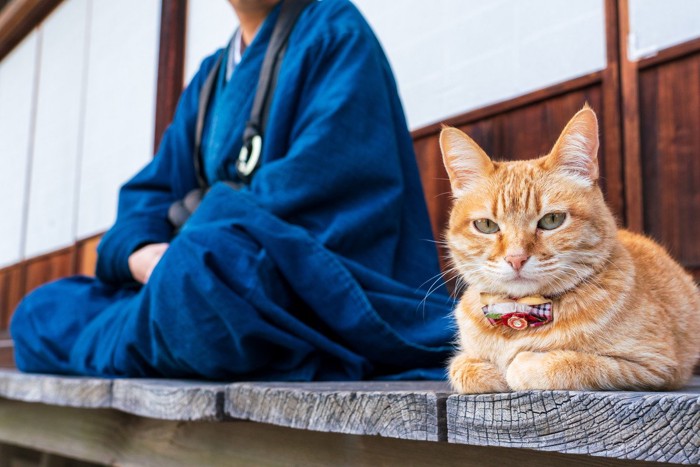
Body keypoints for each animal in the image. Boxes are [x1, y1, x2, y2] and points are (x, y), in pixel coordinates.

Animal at [442, 105, 700, 392]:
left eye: (552, 220)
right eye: (486, 225)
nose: (516, 259)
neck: (522, 312)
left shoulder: (654, 366)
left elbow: (567, 364)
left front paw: (518, 365)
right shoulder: (464, 358)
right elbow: (461, 367)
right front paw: (490, 372)